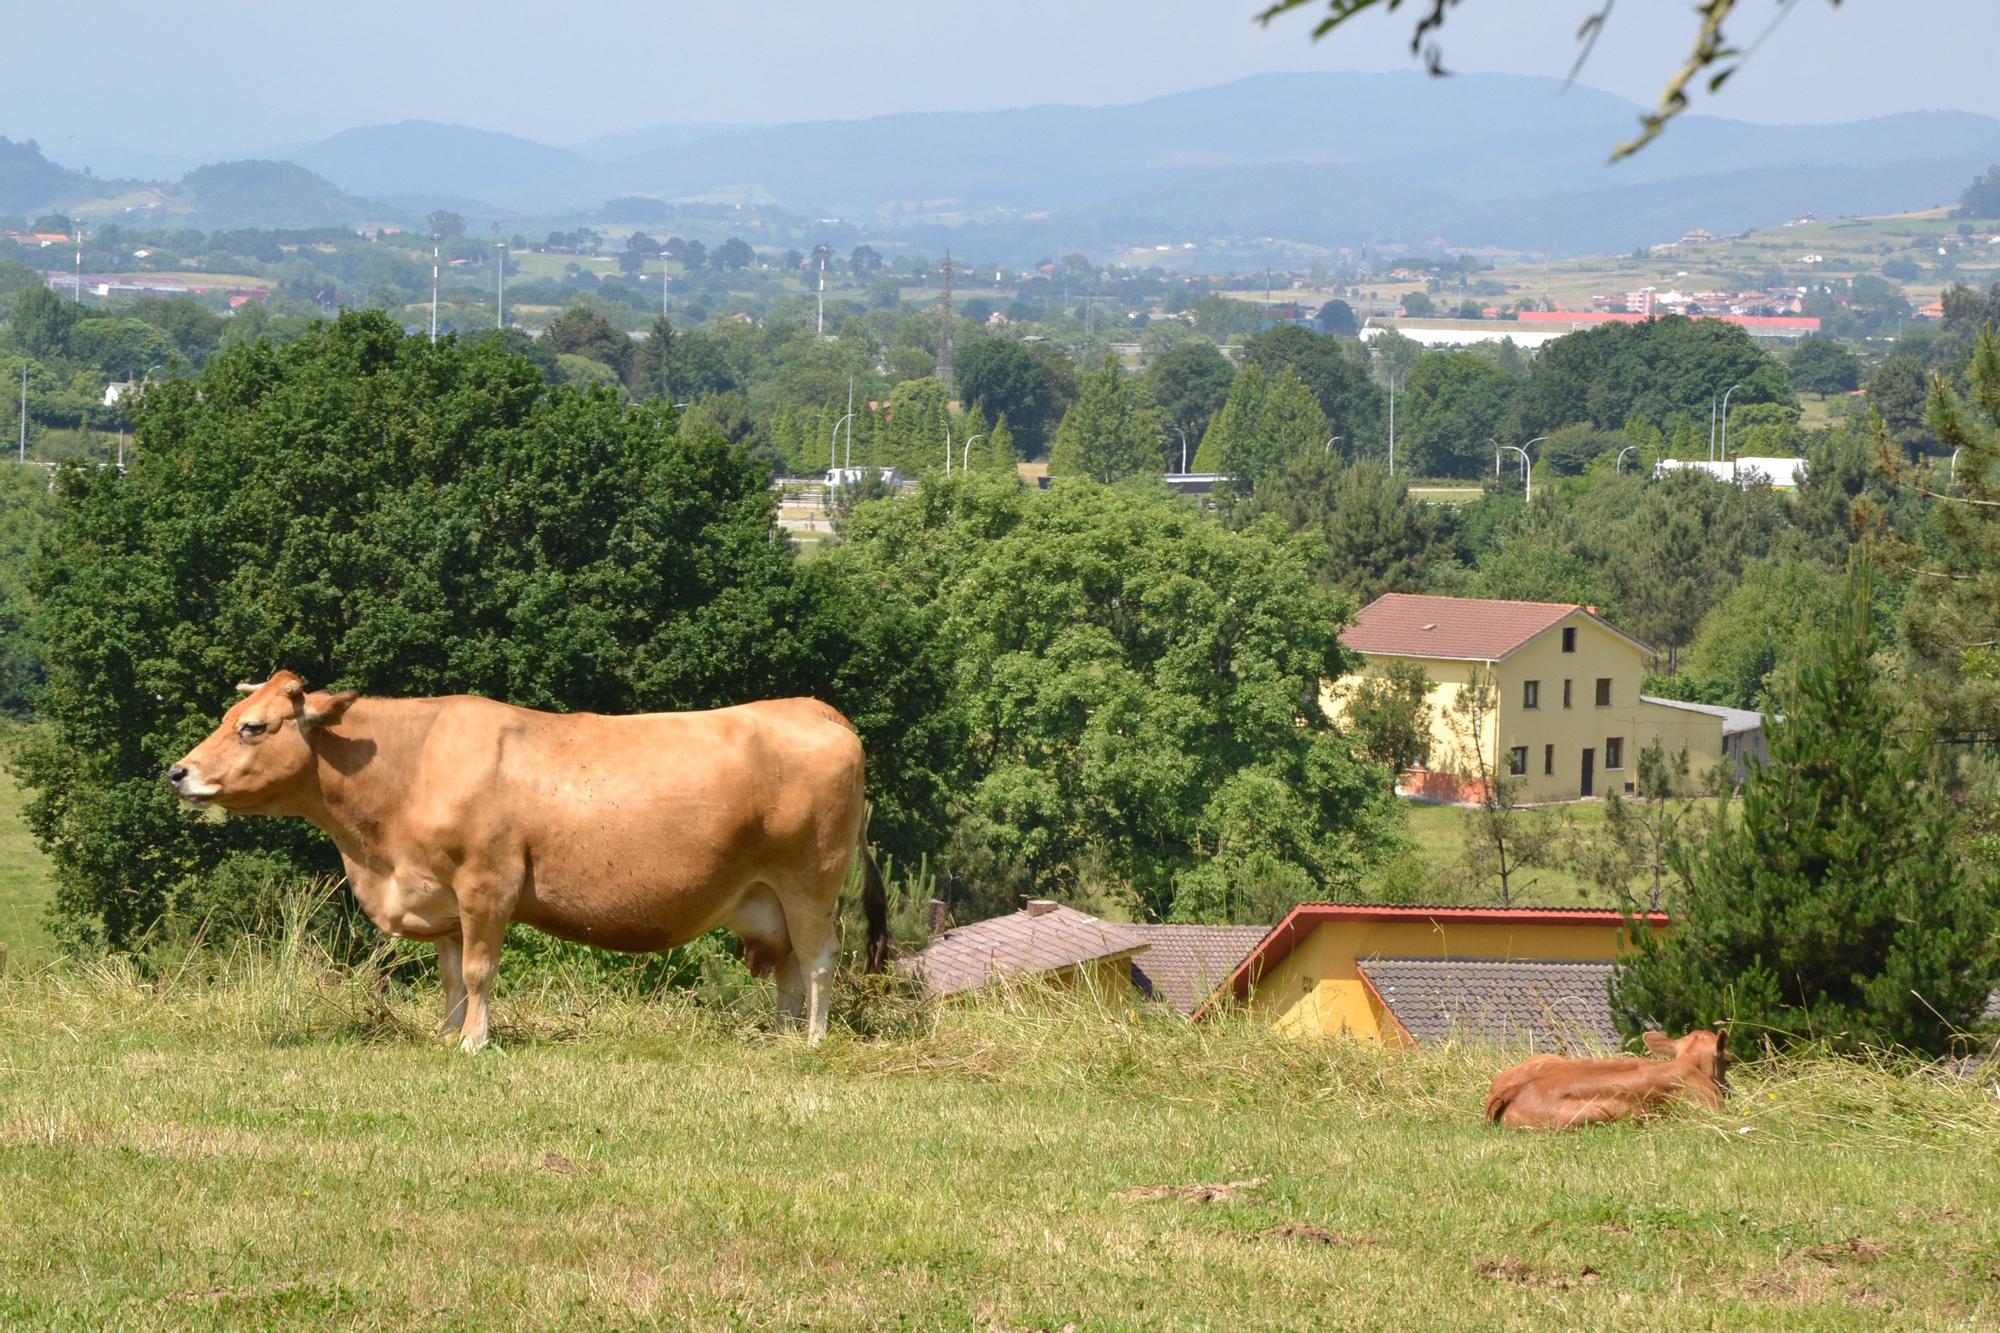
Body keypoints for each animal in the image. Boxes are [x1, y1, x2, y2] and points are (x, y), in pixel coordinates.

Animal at [168, 668, 888, 1040]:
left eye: (252, 726)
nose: (178, 772)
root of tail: (812, 707)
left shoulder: (487, 884)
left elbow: (480, 970)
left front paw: (475, 1042)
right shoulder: (442, 898)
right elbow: (451, 976)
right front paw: (447, 1035)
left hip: (809, 883)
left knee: (819, 961)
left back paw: (813, 1040)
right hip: (769, 897)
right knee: (789, 968)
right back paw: (780, 1037)